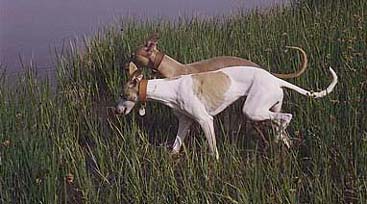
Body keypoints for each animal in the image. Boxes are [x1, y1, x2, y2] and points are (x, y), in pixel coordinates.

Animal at [116, 62, 338, 159]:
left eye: (123, 94)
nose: (116, 111)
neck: (171, 88)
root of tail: (275, 78)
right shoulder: (185, 123)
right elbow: (175, 147)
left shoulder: (205, 120)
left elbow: (213, 150)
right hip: (269, 107)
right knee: (282, 125)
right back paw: (284, 144)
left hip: (252, 109)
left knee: (286, 117)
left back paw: (278, 139)